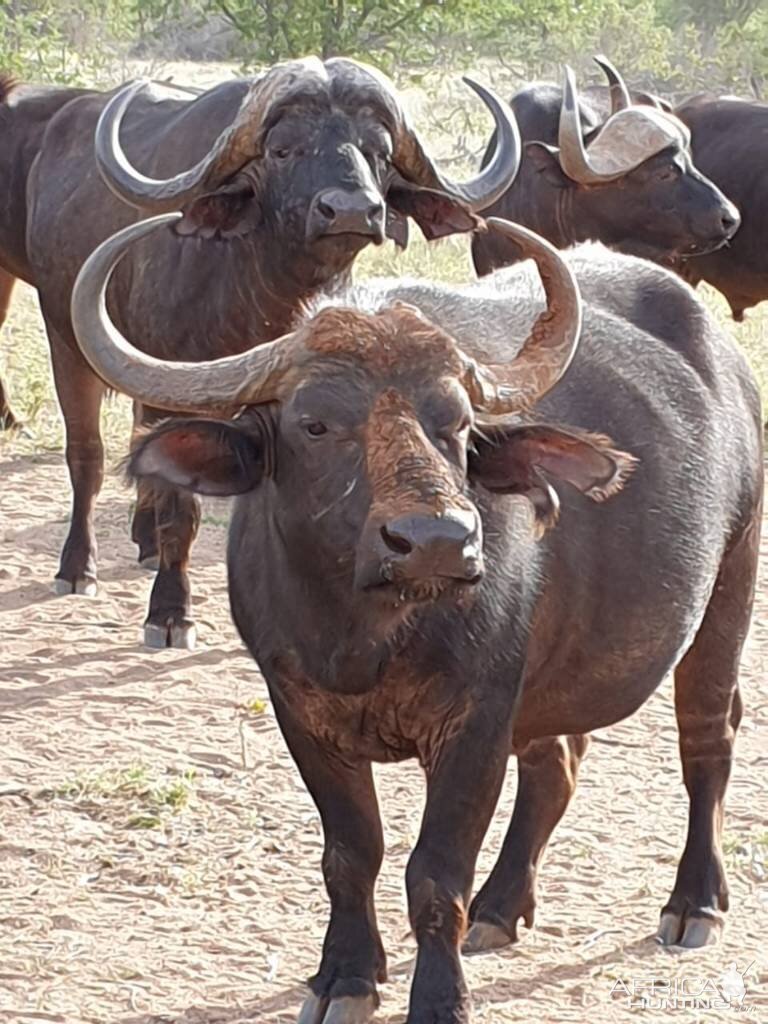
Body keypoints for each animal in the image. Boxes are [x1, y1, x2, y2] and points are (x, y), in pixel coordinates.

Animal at [0, 58, 524, 647]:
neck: (258, 291)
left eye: (379, 150)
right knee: (86, 456)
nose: (352, 211)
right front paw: (170, 612)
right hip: (64, 336)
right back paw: (78, 565)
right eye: (282, 149)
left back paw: (144, 540)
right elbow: (181, 509)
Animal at [70, 214, 765, 1024]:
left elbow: (435, 873)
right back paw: (503, 907)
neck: (367, 637)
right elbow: (351, 853)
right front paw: (345, 975)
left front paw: (436, 998)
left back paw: (694, 903)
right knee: (557, 765)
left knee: (707, 740)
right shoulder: (301, 712)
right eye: (314, 424)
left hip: (731, 586)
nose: (437, 540)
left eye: (456, 422)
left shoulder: (475, 725)